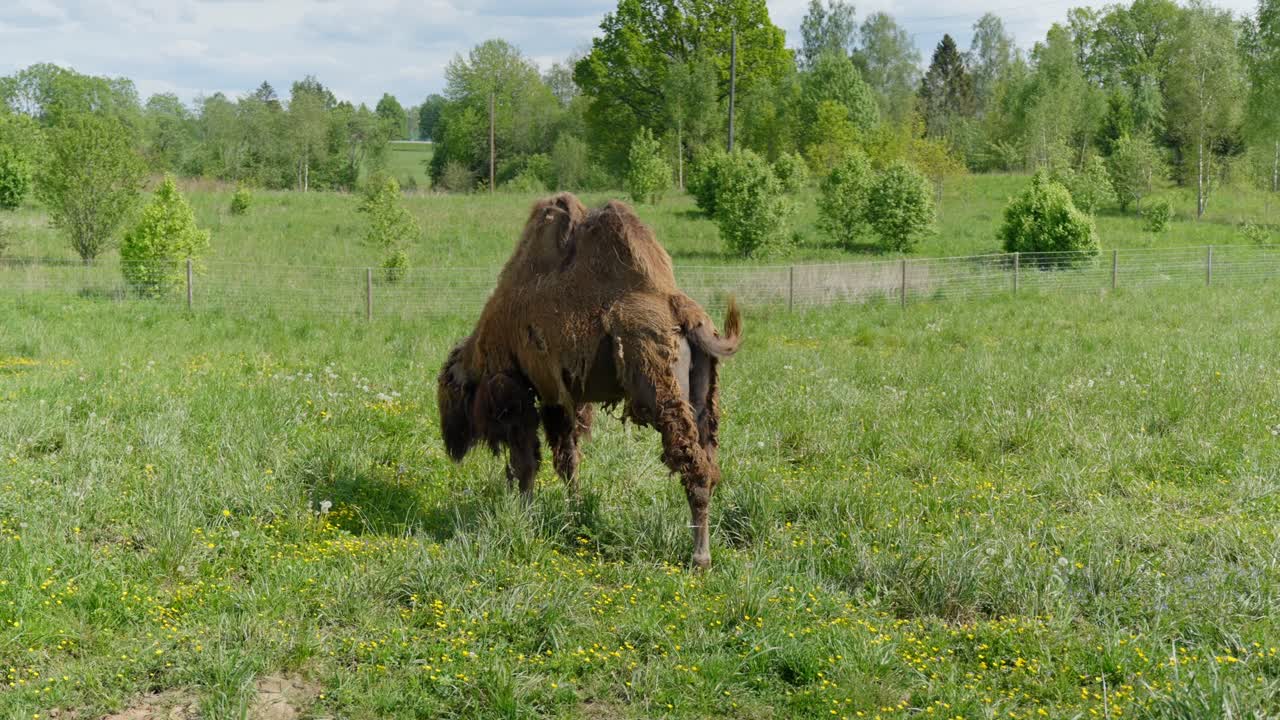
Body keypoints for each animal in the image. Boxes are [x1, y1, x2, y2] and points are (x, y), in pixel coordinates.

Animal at [437, 194, 742, 568]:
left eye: (448, 393)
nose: (451, 441)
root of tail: (681, 310)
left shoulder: (522, 395)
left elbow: (527, 463)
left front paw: (525, 515)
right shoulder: (561, 399)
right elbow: (568, 461)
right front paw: (574, 513)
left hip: (660, 393)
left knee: (693, 467)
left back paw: (699, 558)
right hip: (703, 400)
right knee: (708, 464)